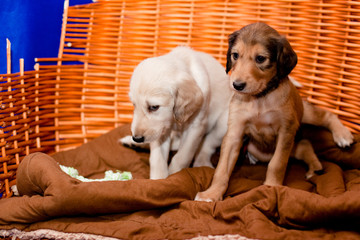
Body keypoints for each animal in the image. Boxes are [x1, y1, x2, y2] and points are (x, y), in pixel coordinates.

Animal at [195, 23, 352, 202]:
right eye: (235, 55)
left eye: (260, 59)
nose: (237, 85)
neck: (260, 98)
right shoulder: (235, 132)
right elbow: (222, 169)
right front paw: (212, 194)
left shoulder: (286, 131)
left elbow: (277, 164)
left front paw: (271, 188)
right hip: (258, 149)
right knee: (304, 145)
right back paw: (314, 167)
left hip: (304, 115)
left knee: (325, 117)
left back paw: (342, 136)